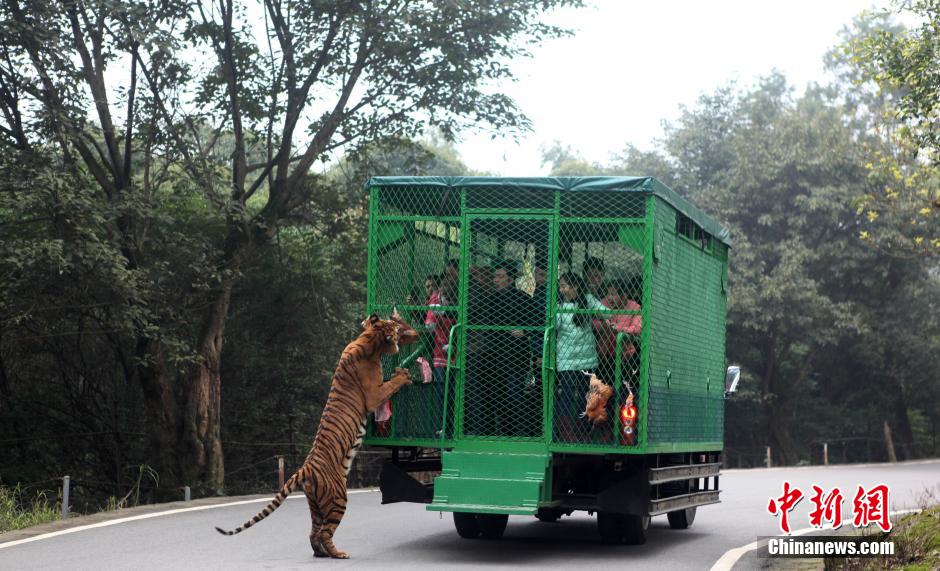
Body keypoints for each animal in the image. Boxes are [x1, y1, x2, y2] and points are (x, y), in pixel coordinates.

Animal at [217, 310, 418, 560]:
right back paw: (339, 553)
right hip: (338, 498)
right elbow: (390, 385)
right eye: (394, 328)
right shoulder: (374, 395)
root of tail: (305, 469)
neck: (369, 340)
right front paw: (403, 375)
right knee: (324, 532)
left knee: (313, 532)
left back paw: (321, 553)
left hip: (315, 503)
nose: (401, 327)